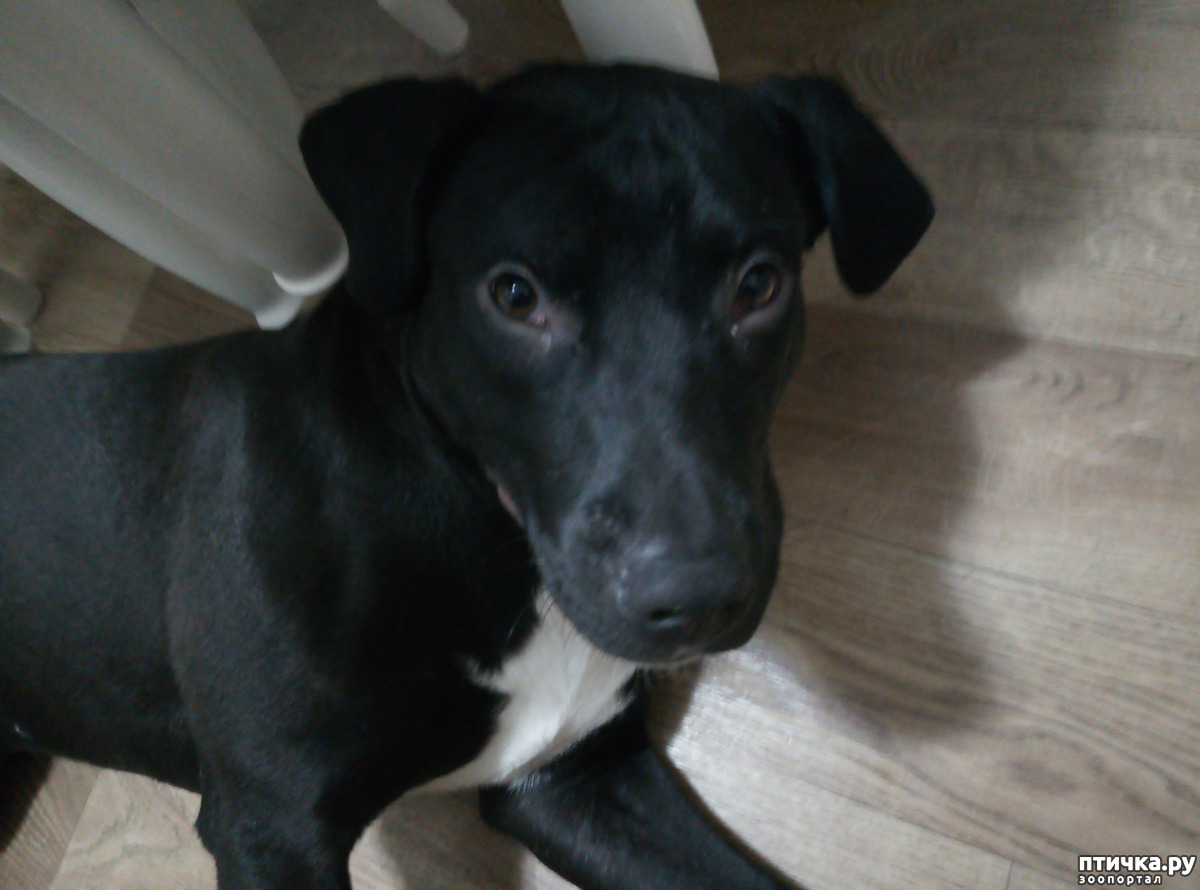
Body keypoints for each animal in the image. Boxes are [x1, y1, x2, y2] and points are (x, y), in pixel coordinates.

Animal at [0, 64, 932, 889]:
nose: (697, 597)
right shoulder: (272, 824)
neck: (477, 521)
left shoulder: (579, 779)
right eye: (514, 296)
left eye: (760, 285)